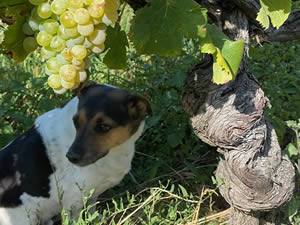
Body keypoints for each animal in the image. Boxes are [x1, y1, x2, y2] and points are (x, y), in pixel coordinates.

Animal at [0, 81, 150, 225]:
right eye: (75, 122)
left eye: (104, 127)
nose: (70, 157)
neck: (114, 152)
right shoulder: (73, 201)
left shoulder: (91, 192)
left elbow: (91, 208)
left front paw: (95, 219)